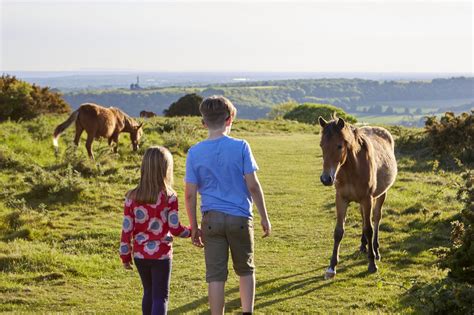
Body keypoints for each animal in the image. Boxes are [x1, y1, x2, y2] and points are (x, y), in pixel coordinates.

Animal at [318, 115, 396, 278]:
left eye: (339, 146)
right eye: (321, 145)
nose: (326, 179)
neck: (351, 169)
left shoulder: (367, 199)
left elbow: (369, 229)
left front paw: (372, 264)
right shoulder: (341, 199)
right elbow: (338, 231)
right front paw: (331, 267)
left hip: (380, 195)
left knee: (376, 219)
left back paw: (376, 250)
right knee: (363, 219)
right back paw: (363, 245)